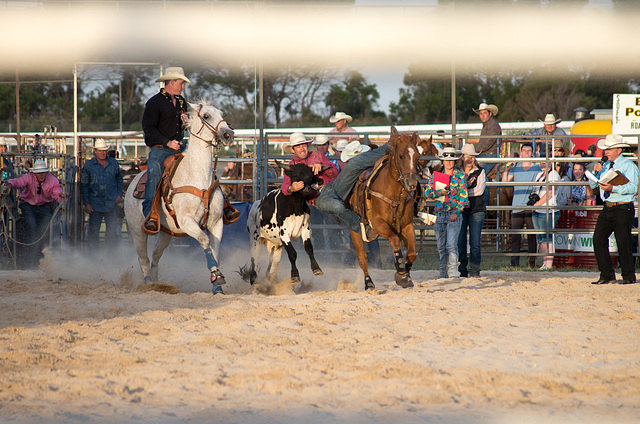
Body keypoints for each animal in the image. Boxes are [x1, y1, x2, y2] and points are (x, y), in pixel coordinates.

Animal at [124, 100, 234, 292]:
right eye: (206, 116)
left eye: (221, 114)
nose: (228, 134)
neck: (198, 176)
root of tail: (132, 182)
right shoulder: (187, 221)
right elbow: (204, 241)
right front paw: (216, 277)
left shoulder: (216, 222)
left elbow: (215, 252)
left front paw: (217, 285)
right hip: (137, 230)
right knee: (143, 259)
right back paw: (148, 284)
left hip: (166, 233)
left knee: (156, 255)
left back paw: (157, 283)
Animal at [348, 127, 432, 290]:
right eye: (400, 156)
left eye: (418, 156)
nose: (412, 183)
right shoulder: (378, 224)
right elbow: (394, 241)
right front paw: (401, 274)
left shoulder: (406, 226)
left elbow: (411, 253)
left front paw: (405, 275)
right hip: (355, 229)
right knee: (362, 258)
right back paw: (368, 283)